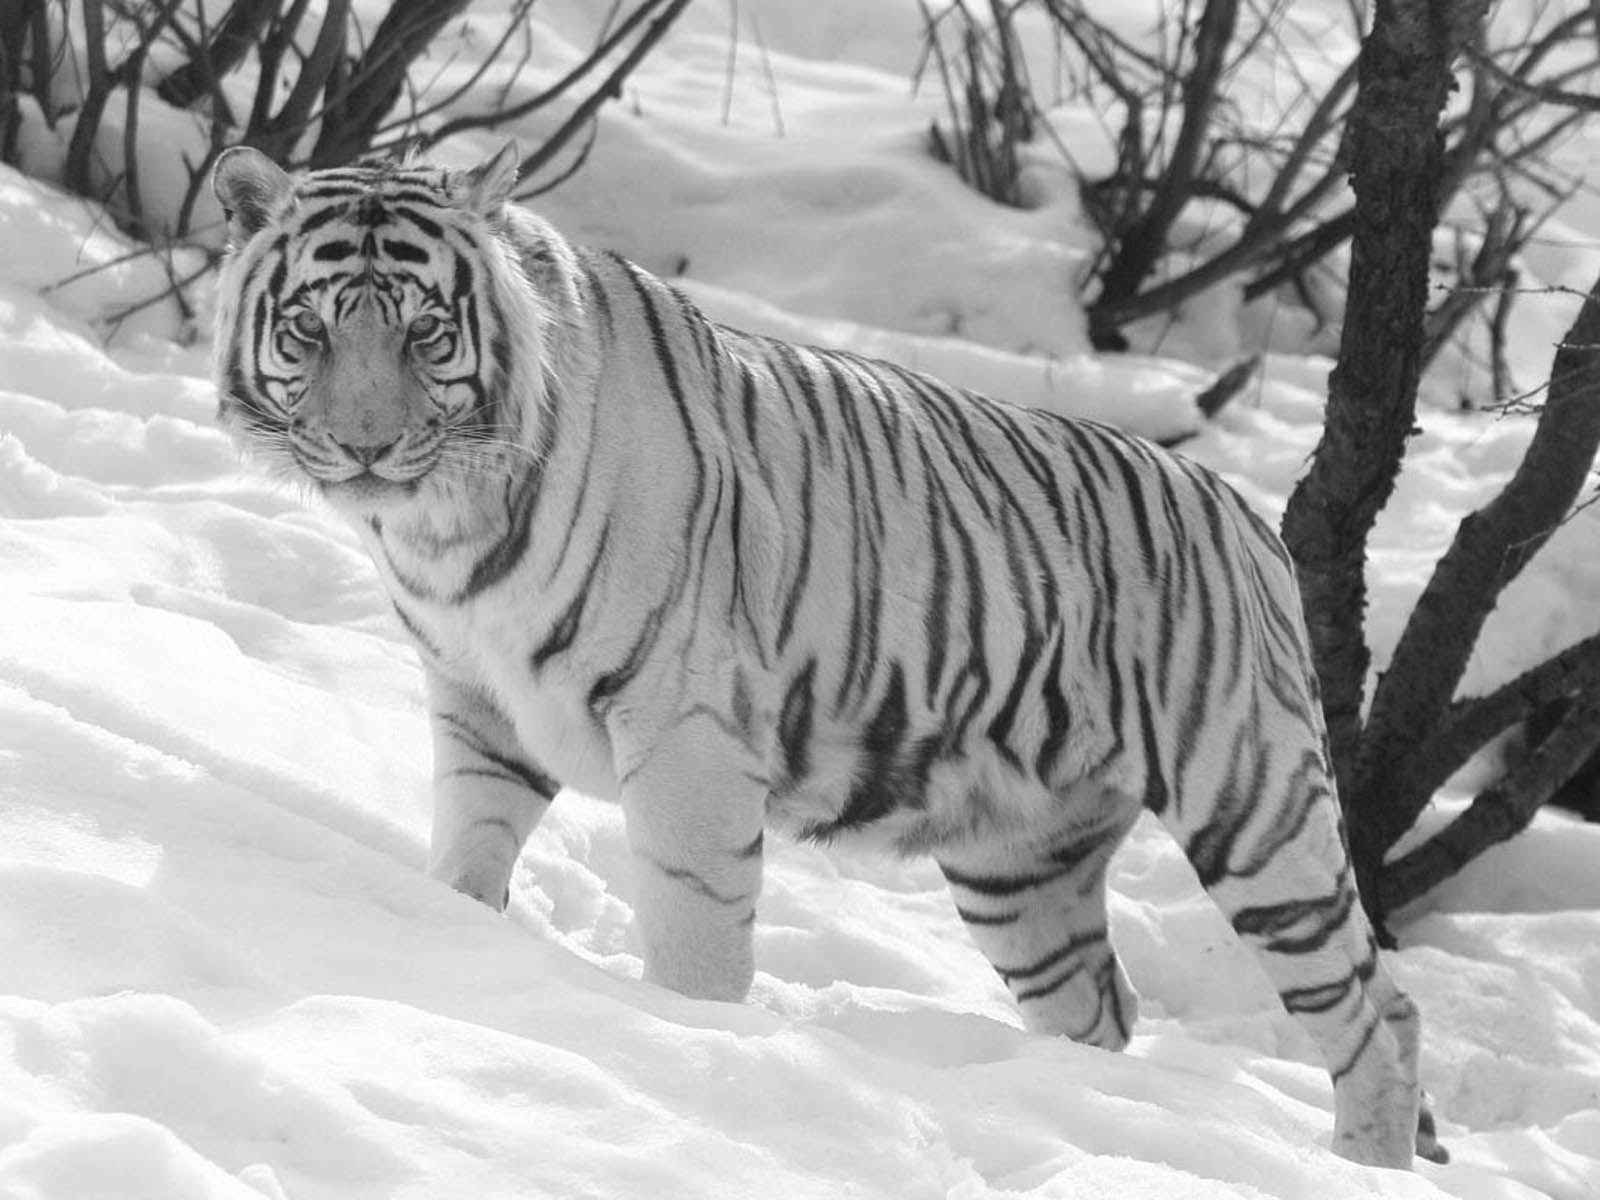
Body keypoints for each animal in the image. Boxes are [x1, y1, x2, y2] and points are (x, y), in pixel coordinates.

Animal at [210, 142, 1443, 1169]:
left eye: (424, 333)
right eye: (311, 330)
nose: (366, 446)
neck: (438, 526)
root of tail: (1244, 512)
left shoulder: (684, 731)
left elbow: (696, 925)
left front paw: (689, 1043)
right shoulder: (481, 705)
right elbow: (467, 857)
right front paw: (455, 947)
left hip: (1253, 809)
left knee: (1376, 1011)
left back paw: (1365, 1162)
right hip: (1020, 868)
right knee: (1105, 1008)